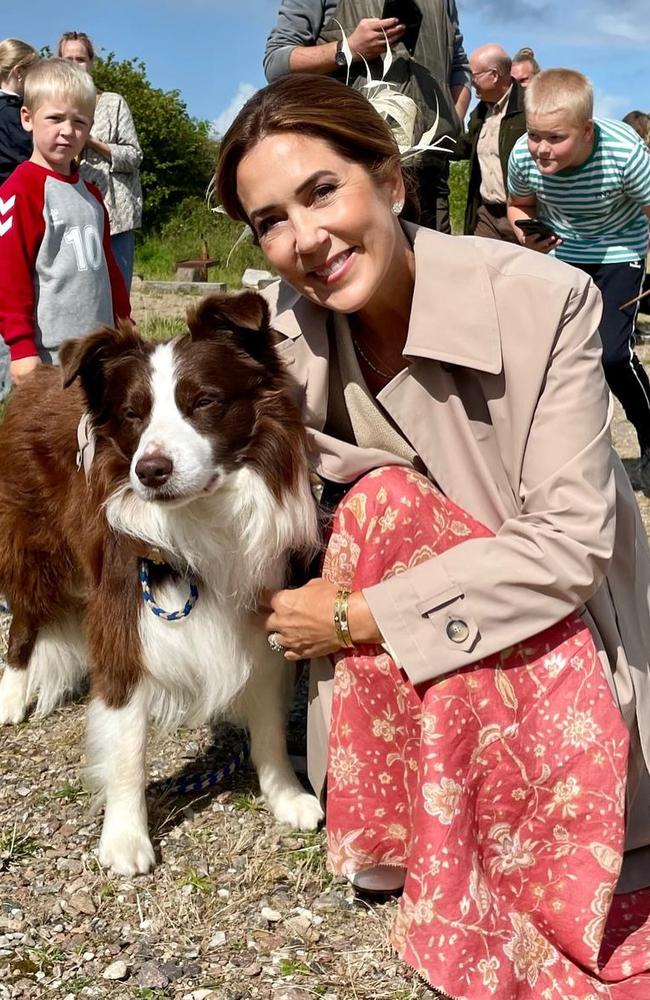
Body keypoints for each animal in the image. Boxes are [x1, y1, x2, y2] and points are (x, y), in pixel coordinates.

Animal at [0, 292, 322, 876]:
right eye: (133, 414)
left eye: (204, 402)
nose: (150, 470)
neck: (202, 521)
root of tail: (37, 378)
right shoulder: (123, 615)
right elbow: (127, 744)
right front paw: (125, 837)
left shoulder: (257, 614)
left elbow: (267, 724)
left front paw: (285, 795)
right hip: (33, 547)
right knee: (26, 619)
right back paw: (11, 696)